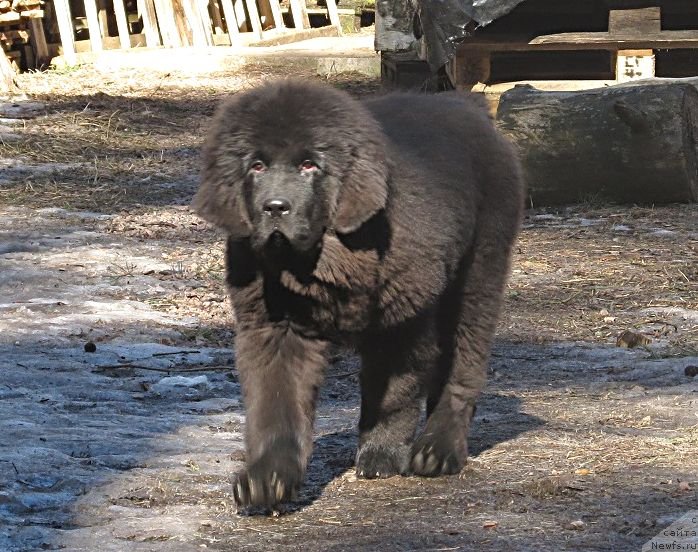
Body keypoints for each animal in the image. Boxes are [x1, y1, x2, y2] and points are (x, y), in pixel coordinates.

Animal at [192, 80, 520, 506]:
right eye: (257, 166)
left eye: (310, 165)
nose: (275, 207)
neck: (320, 260)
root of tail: (471, 109)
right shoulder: (274, 327)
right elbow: (276, 401)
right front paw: (267, 477)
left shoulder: (402, 321)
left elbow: (391, 394)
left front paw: (380, 454)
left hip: (478, 272)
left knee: (463, 362)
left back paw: (439, 449)